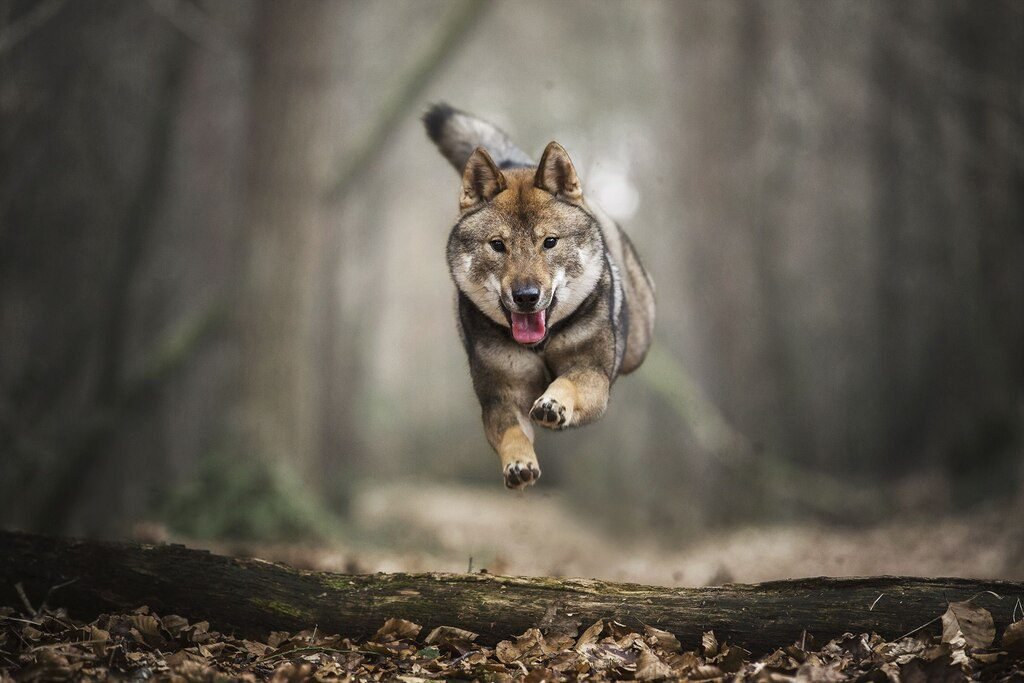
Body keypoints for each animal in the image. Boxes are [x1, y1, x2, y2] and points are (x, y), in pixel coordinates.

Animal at [423, 104, 655, 489]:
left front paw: (553, 404)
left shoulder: (592, 376)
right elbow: (512, 433)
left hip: (637, 344)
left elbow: (567, 384)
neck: (540, 346)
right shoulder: (501, 398)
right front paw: (518, 464)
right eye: (498, 245)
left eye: (549, 242)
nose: (527, 296)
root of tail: (515, 160)